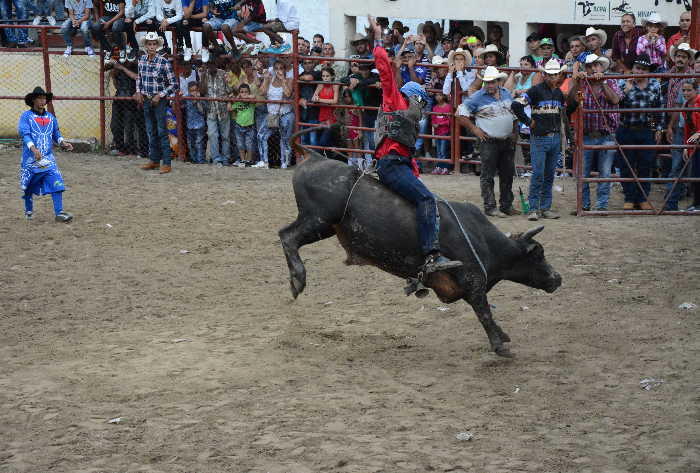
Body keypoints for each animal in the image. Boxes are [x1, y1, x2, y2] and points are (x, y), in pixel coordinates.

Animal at [278, 131, 564, 356]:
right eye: (539, 254)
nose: (558, 277)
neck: (483, 240)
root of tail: (314, 157)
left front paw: (502, 336)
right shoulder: (473, 281)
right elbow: (484, 311)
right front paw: (500, 344)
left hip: (323, 225)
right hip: (317, 219)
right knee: (287, 236)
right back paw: (298, 279)